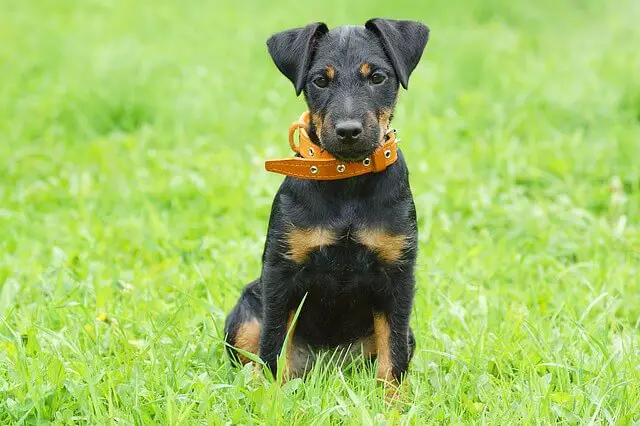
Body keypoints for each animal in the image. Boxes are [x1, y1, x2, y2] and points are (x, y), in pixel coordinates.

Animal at [225, 17, 430, 386]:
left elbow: (392, 356)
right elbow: (273, 345)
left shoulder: (397, 276)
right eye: (320, 80)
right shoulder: (281, 273)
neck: (346, 178)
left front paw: (393, 399)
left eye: (377, 77)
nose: (348, 131)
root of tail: (326, 365)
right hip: (246, 311)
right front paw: (270, 395)